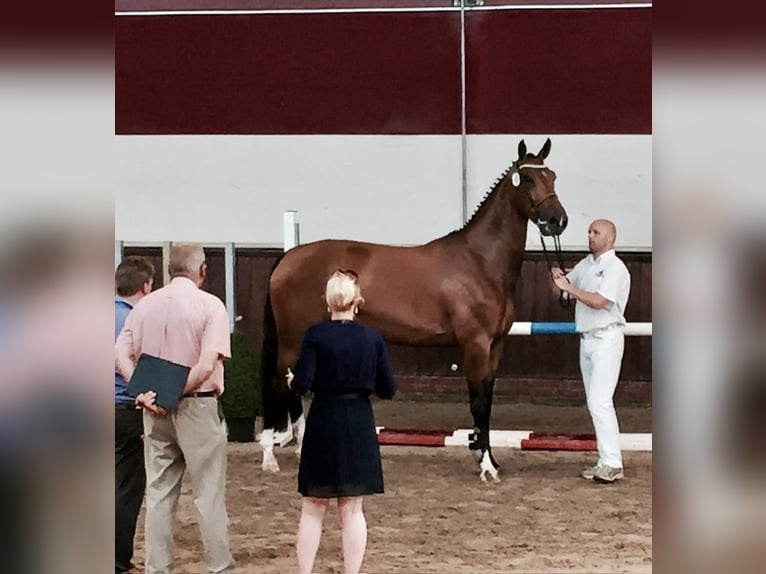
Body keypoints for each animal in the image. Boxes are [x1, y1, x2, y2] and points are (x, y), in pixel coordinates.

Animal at [260, 140, 568, 482]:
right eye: (527, 179)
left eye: (553, 176)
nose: (557, 220)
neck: (480, 262)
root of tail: (289, 258)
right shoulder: (475, 345)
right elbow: (478, 404)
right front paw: (486, 466)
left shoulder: (495, 345)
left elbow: (487, 402)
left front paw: (487, 456)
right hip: (291, 340)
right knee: (278, 385)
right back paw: (270, 457)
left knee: (292, 388)